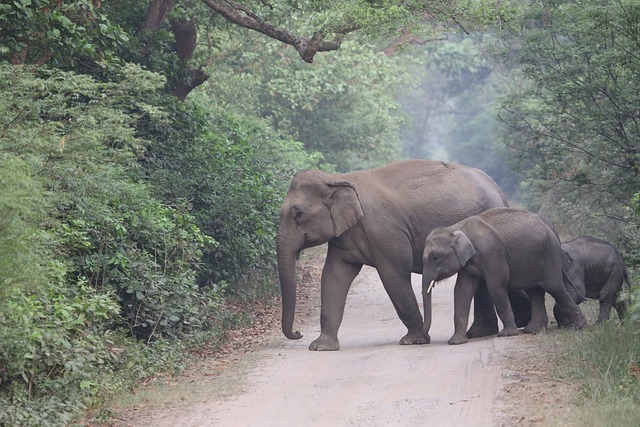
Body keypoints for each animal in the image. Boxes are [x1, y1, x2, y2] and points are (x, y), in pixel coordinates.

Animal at [278, 160, 510, 352]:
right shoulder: (343, 236)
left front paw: (413, 340)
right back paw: (479, 332)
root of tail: (501, 193)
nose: (298, 333)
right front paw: (321, 347)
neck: (337, 178)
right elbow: (333, 277)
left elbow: (394, 275)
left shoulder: (385, 231)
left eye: (298, 214)